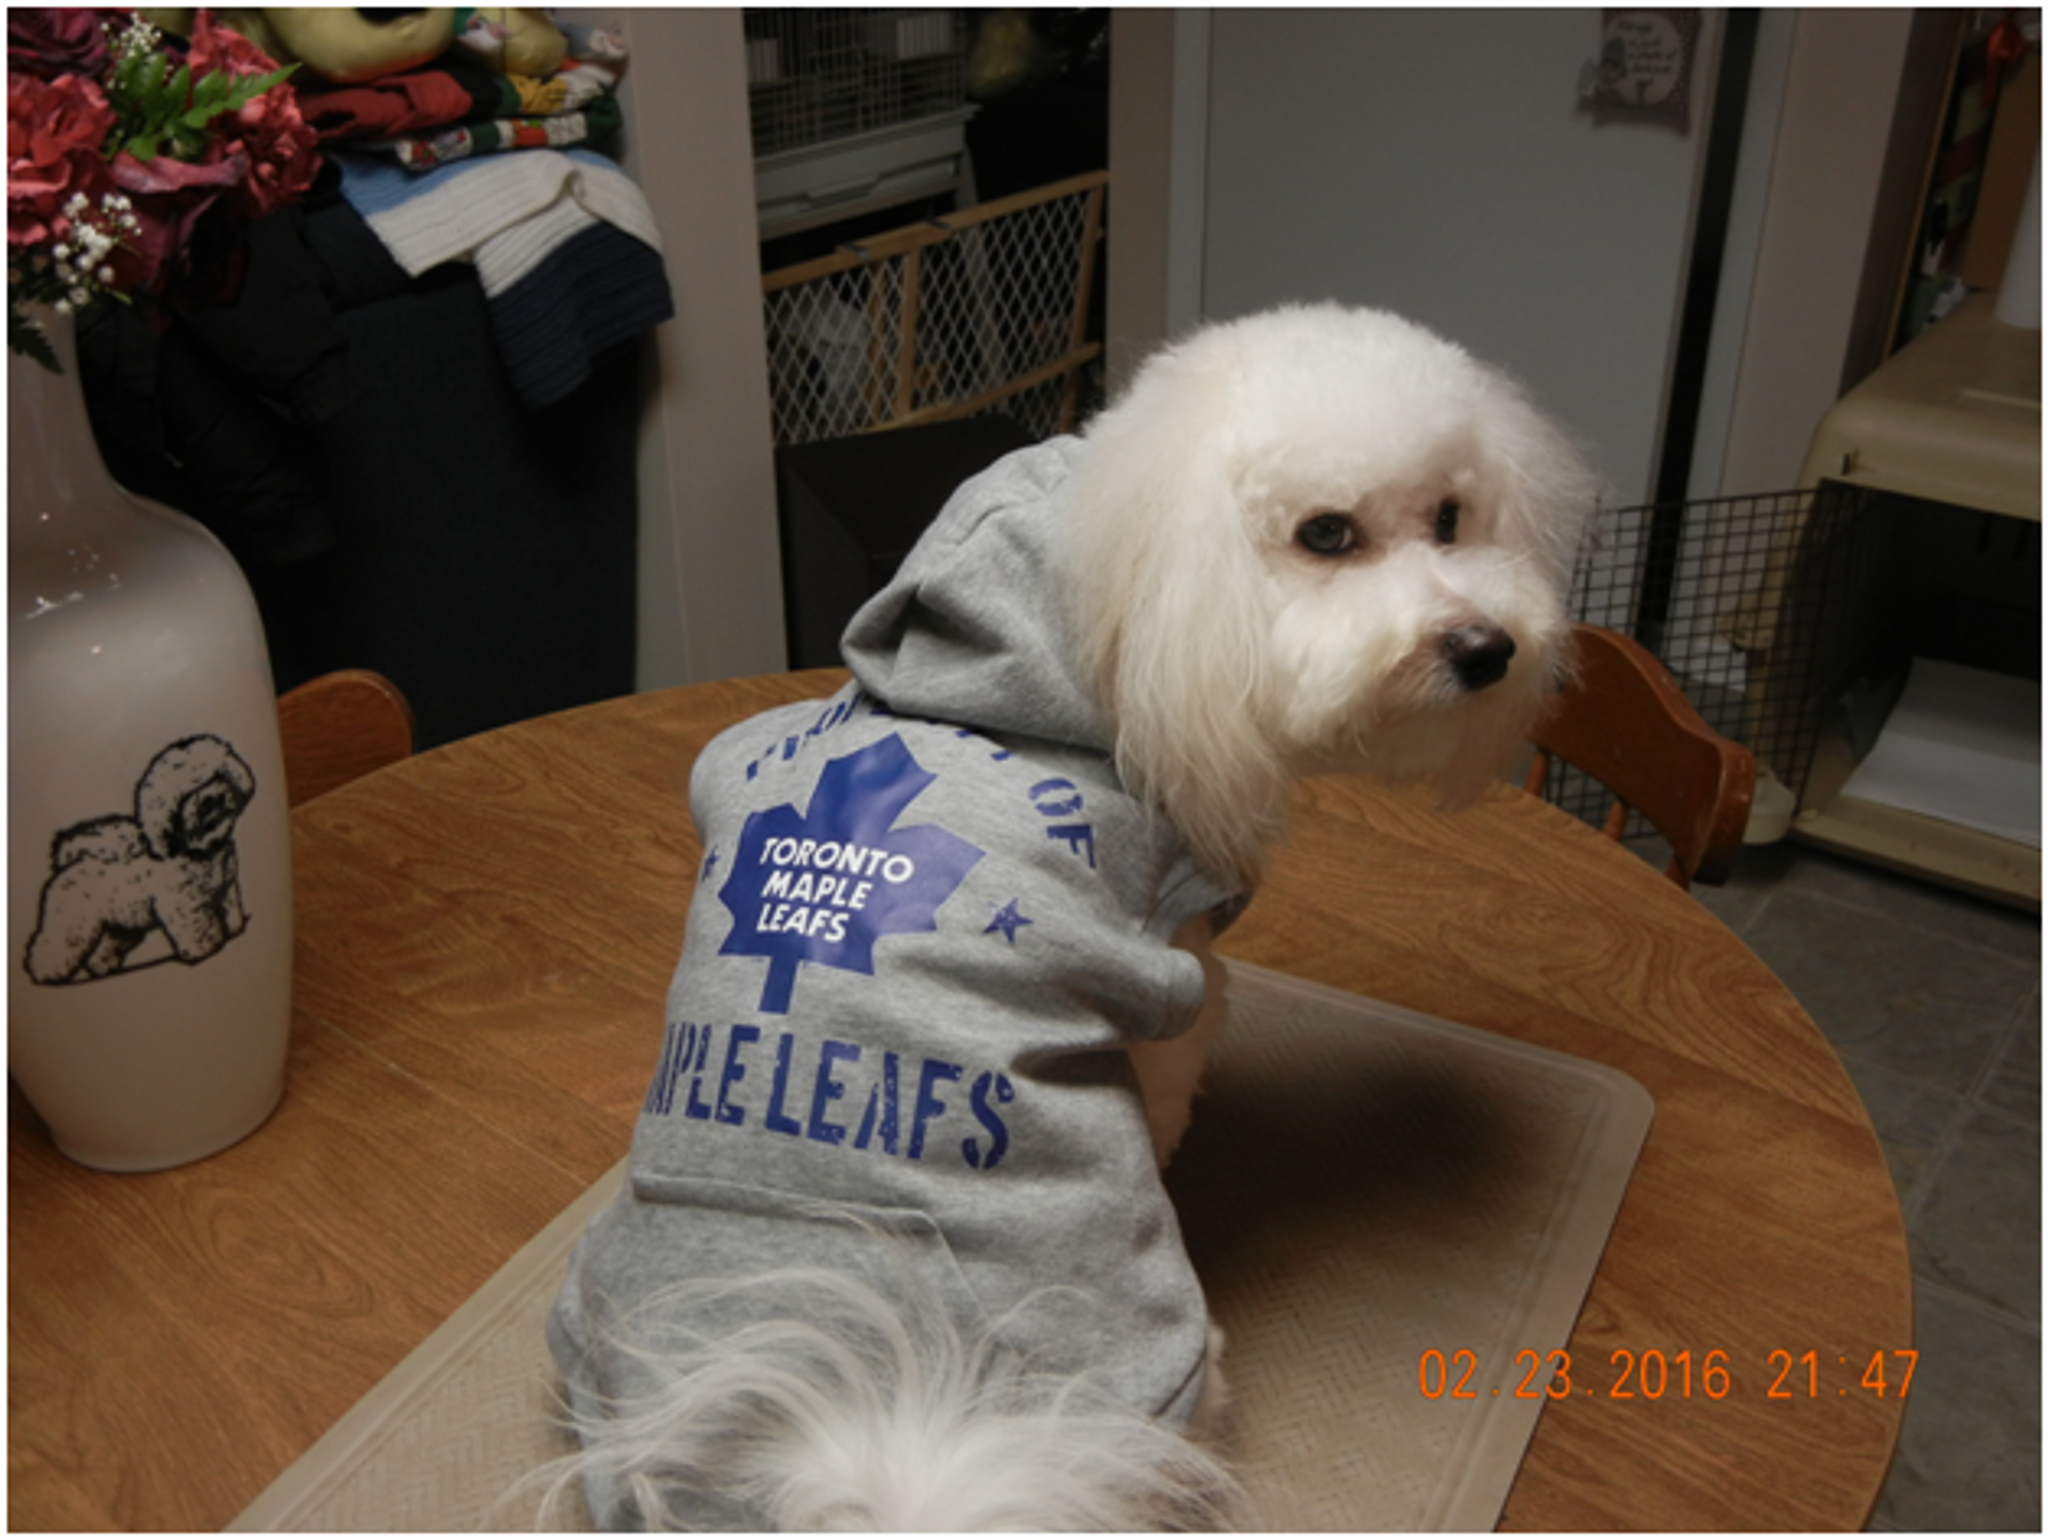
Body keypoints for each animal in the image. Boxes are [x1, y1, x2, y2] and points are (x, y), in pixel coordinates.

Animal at [544, 301, 1597, 1532]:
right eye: (1326, 534)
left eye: (1450, 517)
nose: (1487, 650)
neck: (1108, 594)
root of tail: (890, 1427)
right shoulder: (1173, 967)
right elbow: (1172, 1074)